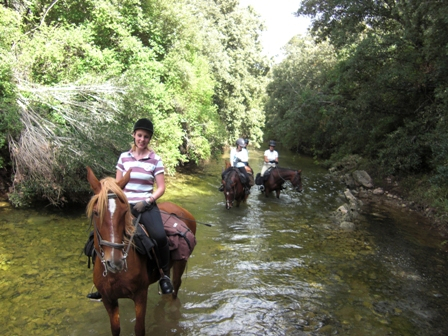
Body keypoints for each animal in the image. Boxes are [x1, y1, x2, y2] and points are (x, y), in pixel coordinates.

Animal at [86, 167, 196, 336]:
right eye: (97, 212)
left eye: (124, 211)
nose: (115, 261)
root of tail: (183, 211)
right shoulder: (108, 299)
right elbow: (115, 329)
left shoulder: (140, 295)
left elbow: (139, 329)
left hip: (180, 262)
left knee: (176, 287)